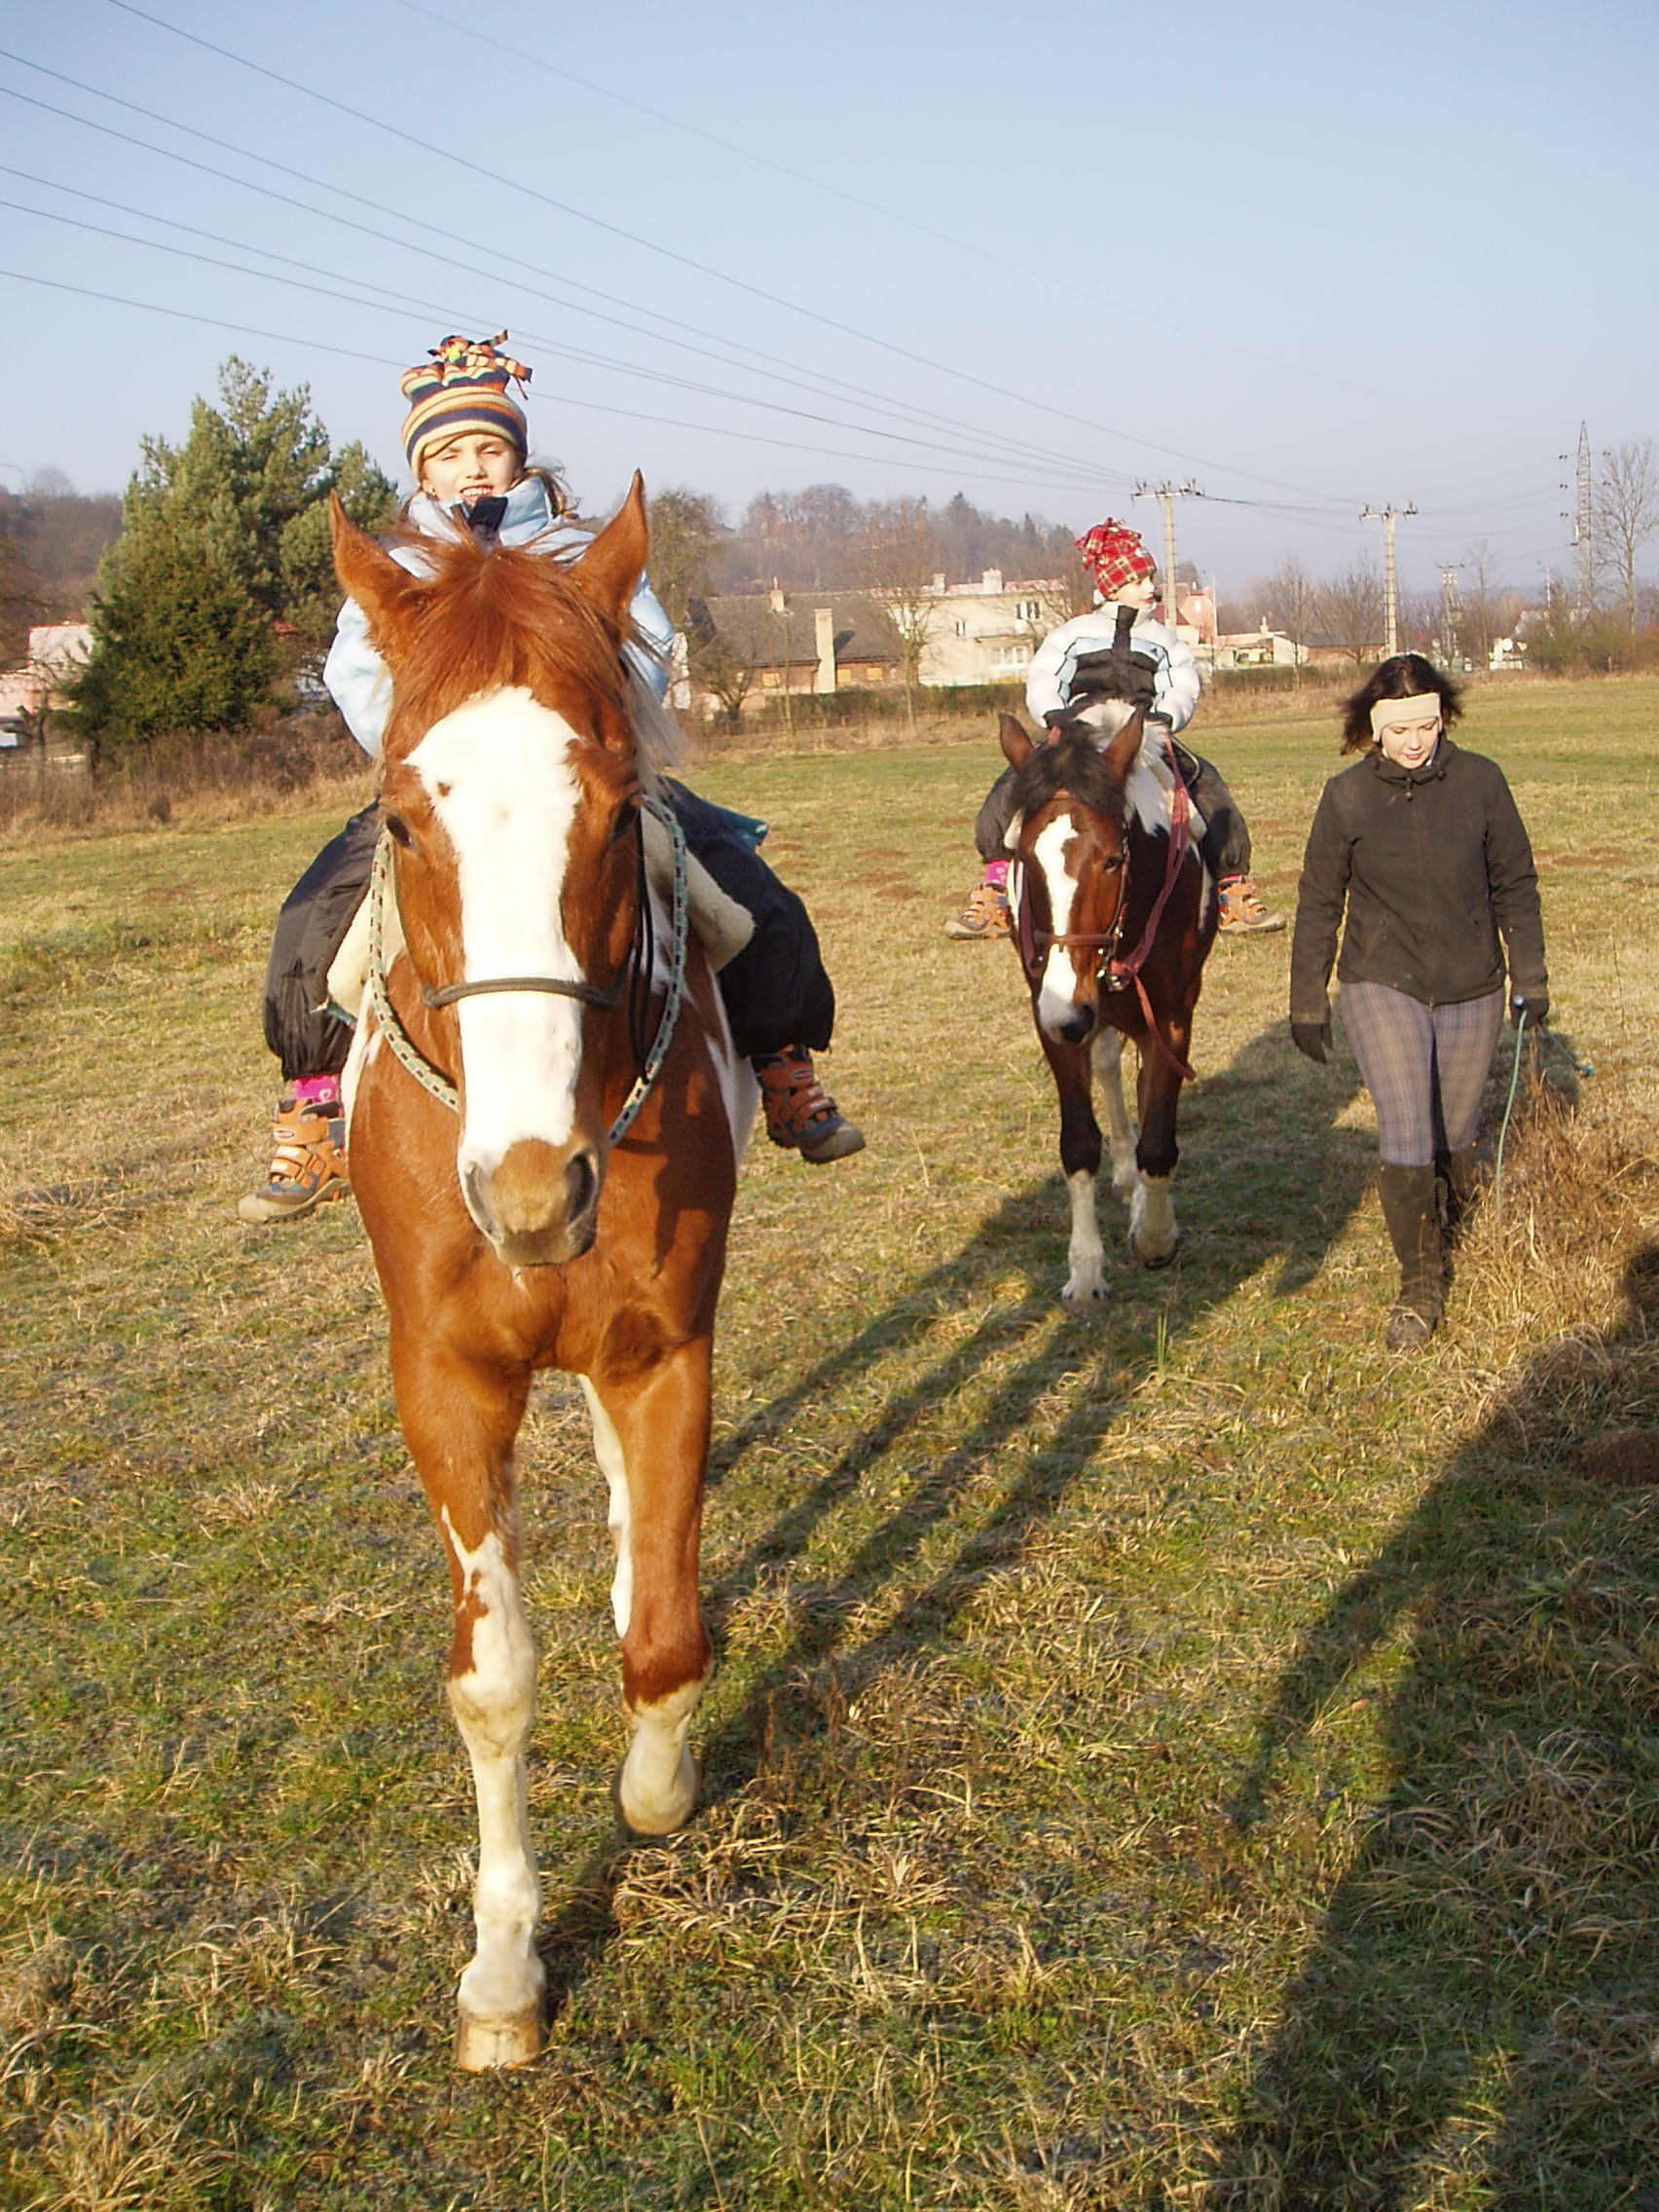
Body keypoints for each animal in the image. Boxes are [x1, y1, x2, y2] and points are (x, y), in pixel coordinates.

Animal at [331, 484, 760, 2070]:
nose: (530, 1193)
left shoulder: (665, 1350)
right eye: (402, 817)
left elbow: (663, 1640)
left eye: (621, 804)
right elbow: (496, 1681)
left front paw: (658, 1790)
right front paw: (505, 1972)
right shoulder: (447, 1379)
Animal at [999, 703, 1221, 1291]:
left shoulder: (1170, 1016)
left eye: (1111, 861)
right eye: (1025, 858)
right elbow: (1078, 1142)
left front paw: (1156, 1236)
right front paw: (1085, 1269)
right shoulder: (1052, 1015)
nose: (1070, 1011)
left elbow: (1158, 1137)